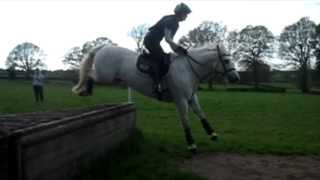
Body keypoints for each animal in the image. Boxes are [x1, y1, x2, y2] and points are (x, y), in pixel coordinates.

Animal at [72, 43, 238, 153]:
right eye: (227, 60)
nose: (236, 78)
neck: (188, 69)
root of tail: (103, 47)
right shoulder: (181, 100)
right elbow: (185, 121)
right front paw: (192, 145)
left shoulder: (191, 97)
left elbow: (201, 114)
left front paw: (212, 134)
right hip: (105, 76)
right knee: (90, 74)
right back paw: (84, 91)